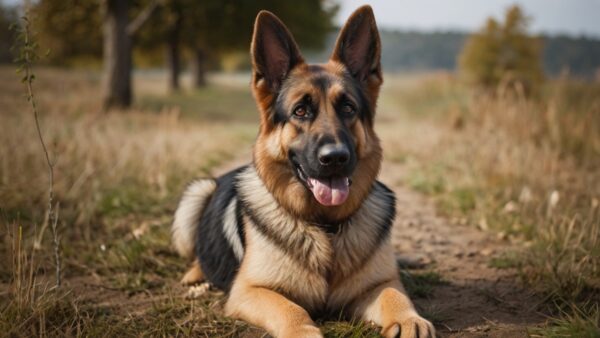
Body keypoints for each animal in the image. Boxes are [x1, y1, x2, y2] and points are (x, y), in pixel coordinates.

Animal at [171, 5, 434, 338]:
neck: (324, 227)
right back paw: (196, 272)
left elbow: (394, 294)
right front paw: (302, 331)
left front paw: (409, 318)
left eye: (348, 108)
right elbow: (290, 308)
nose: (334, 158)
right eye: (300, 111)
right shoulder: (250, 290)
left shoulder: (377, 285)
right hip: (195, 194)